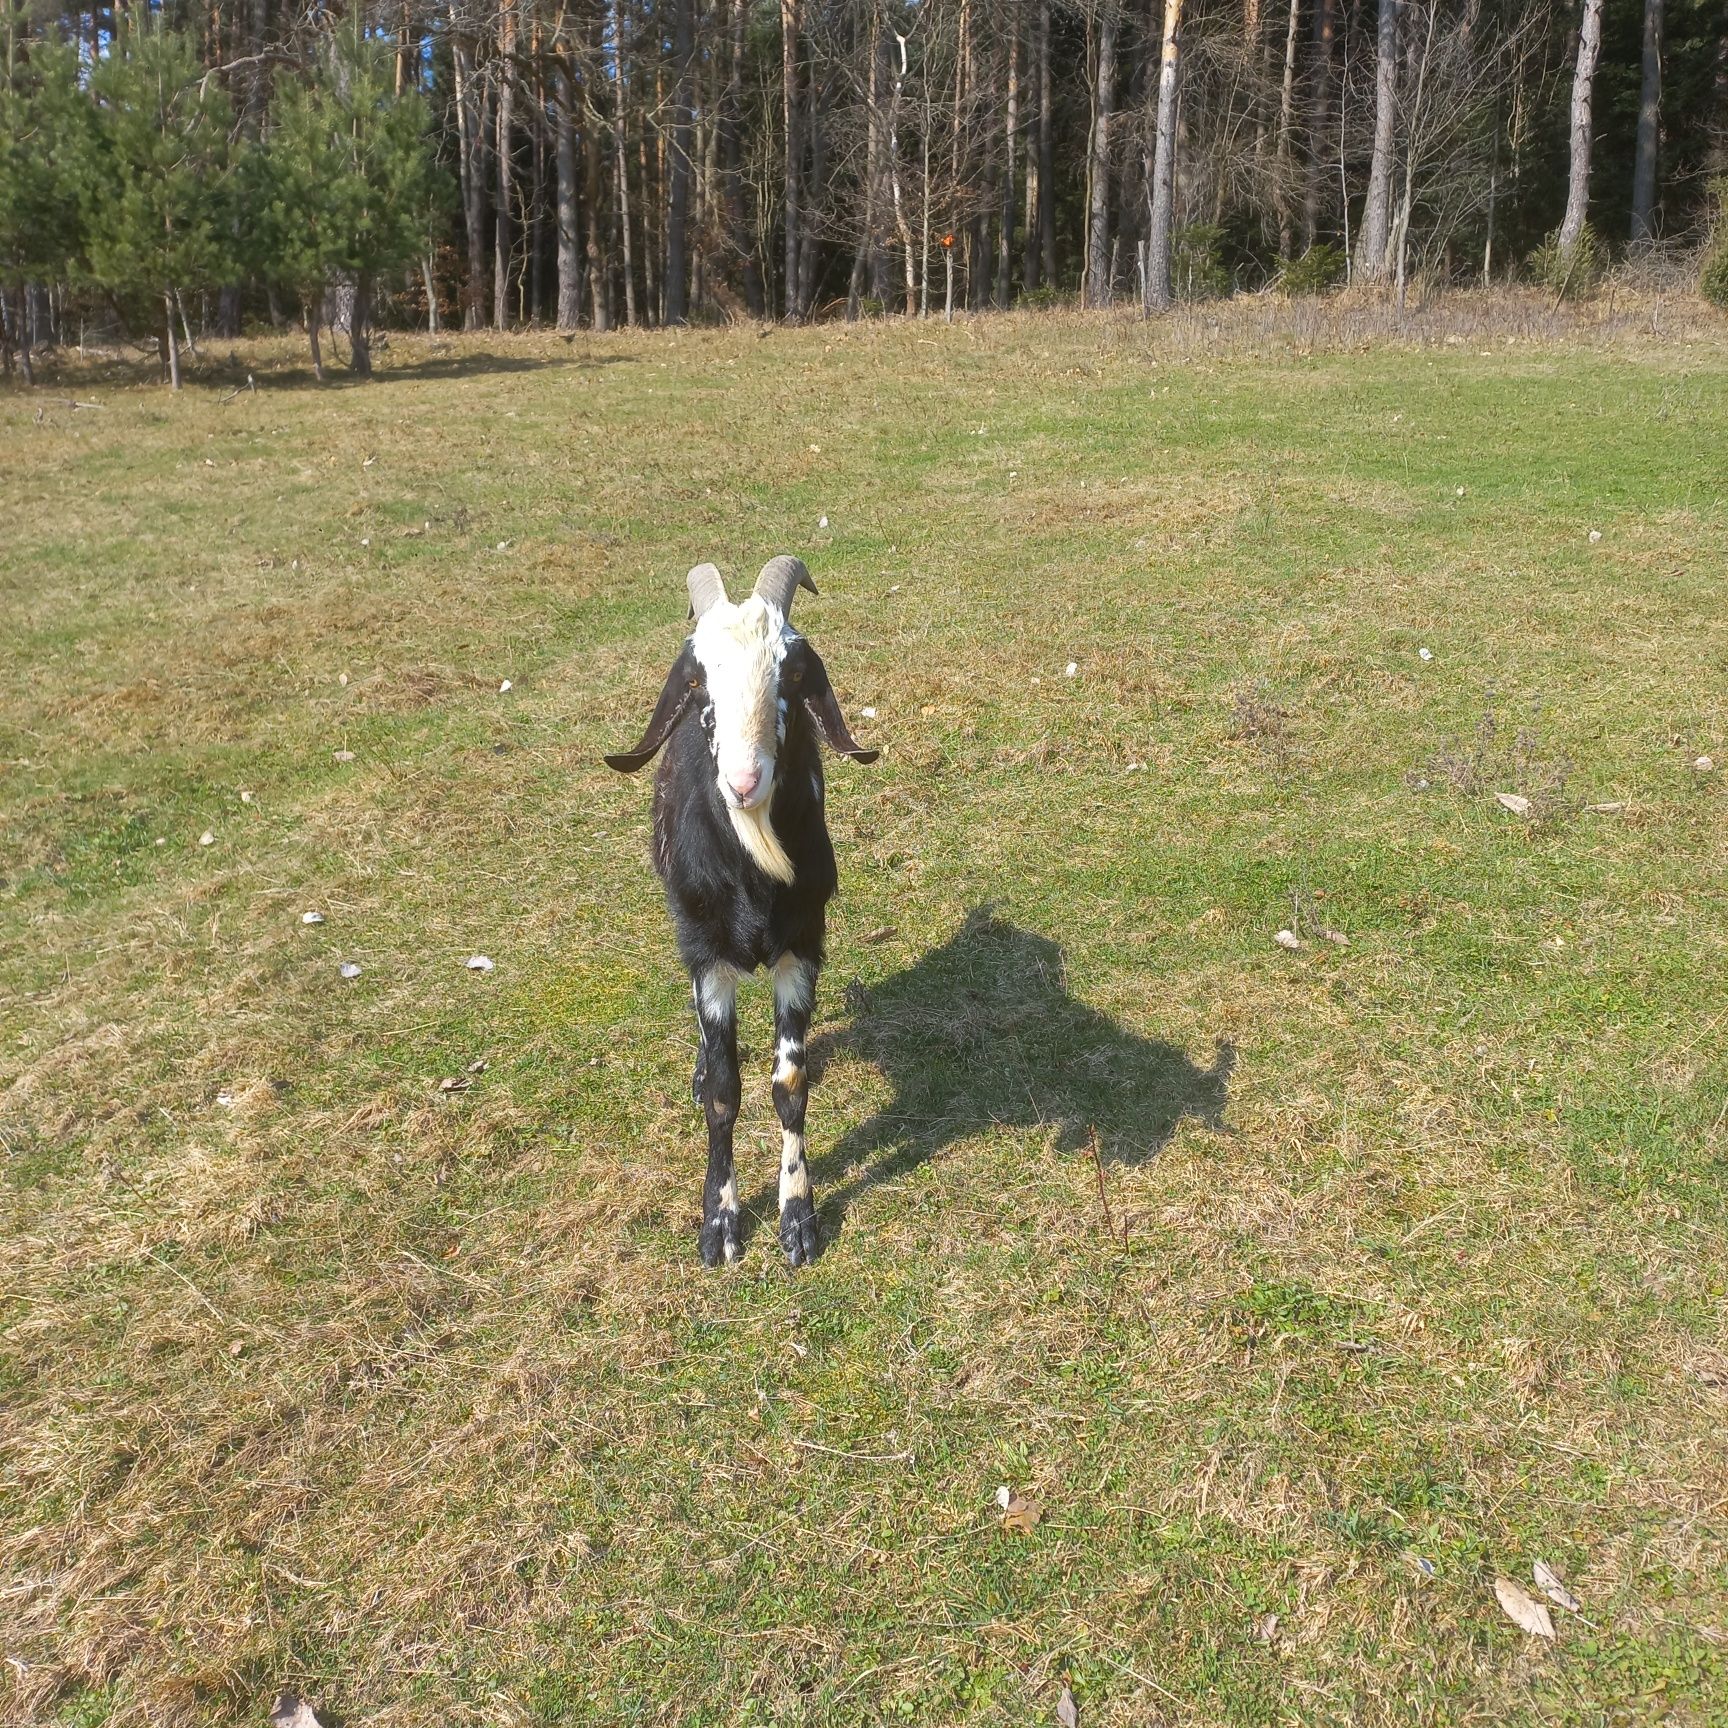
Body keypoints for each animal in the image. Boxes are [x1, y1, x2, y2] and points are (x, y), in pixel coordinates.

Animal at [604, 556, 877, 1271]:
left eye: (795, 672)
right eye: (698, 679)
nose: (744, 781)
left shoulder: (804, 946)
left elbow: (790, 1082)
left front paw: (798, 1219)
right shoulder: (707, 958)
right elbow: (726, 1090)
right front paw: (720, 1224)